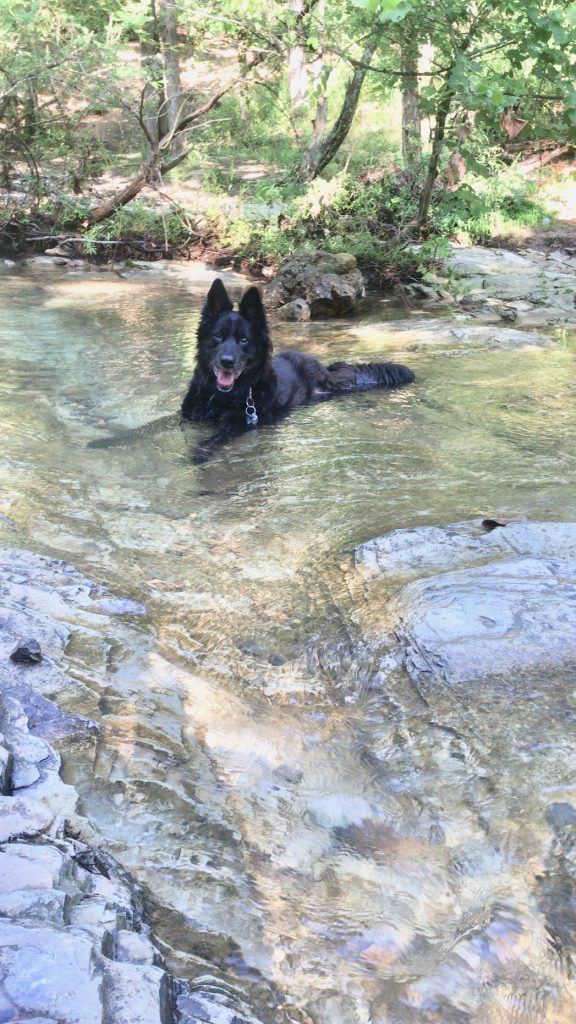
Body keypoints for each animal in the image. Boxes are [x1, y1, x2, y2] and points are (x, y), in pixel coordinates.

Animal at [181, 276, 414, 460]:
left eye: (244, 340)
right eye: (217, 336)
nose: (227, 362)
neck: (220, 396)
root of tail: (321, 365)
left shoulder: (239, 425)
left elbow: (216, 437)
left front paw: (201, 451)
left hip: (331, 386)